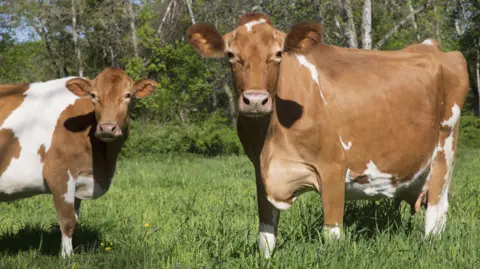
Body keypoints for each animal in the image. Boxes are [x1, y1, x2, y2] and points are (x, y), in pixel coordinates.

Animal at [0, 67, 157, 255]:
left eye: (128, 95)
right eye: (94, 95)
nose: (107, 128)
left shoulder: (80, 180)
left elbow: (74, 221)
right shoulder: (59, 175)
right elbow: (67, 221)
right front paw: (67, 257)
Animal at [188, 13, 468, 258]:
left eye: (278, 54)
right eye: (230, 55)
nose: (255, 100)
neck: (271, 139)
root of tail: (432, 46)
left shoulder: (333, 168)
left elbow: (331, 235)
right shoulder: (261, 172)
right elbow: (265, 237)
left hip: (444, 149)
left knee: (435, 214)